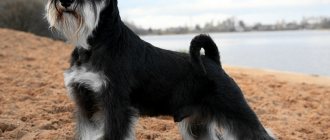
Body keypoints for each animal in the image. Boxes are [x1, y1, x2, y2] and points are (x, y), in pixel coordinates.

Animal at [45, 0, 274, 139]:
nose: (65, 2)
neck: (95, 44)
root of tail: (213, 61)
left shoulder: (115, 107)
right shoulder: (86, 104)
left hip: (236, 111)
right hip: (197, 123)